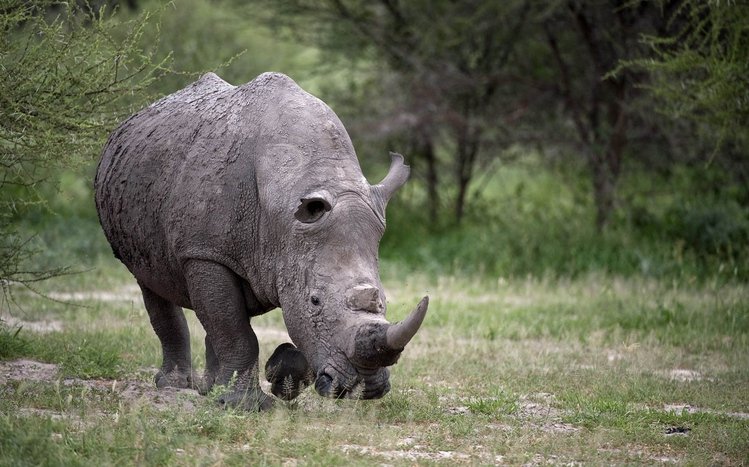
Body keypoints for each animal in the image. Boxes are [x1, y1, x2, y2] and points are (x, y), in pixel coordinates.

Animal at [94, 72, 428, 410]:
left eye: (383, 301)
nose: (365, 387)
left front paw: (277, 376)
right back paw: (175, 387)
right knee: (152, 283)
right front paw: (246, 406)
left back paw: (210, 389)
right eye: (315, 301)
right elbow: (236, 331)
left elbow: (234, 323)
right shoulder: (204, 252)